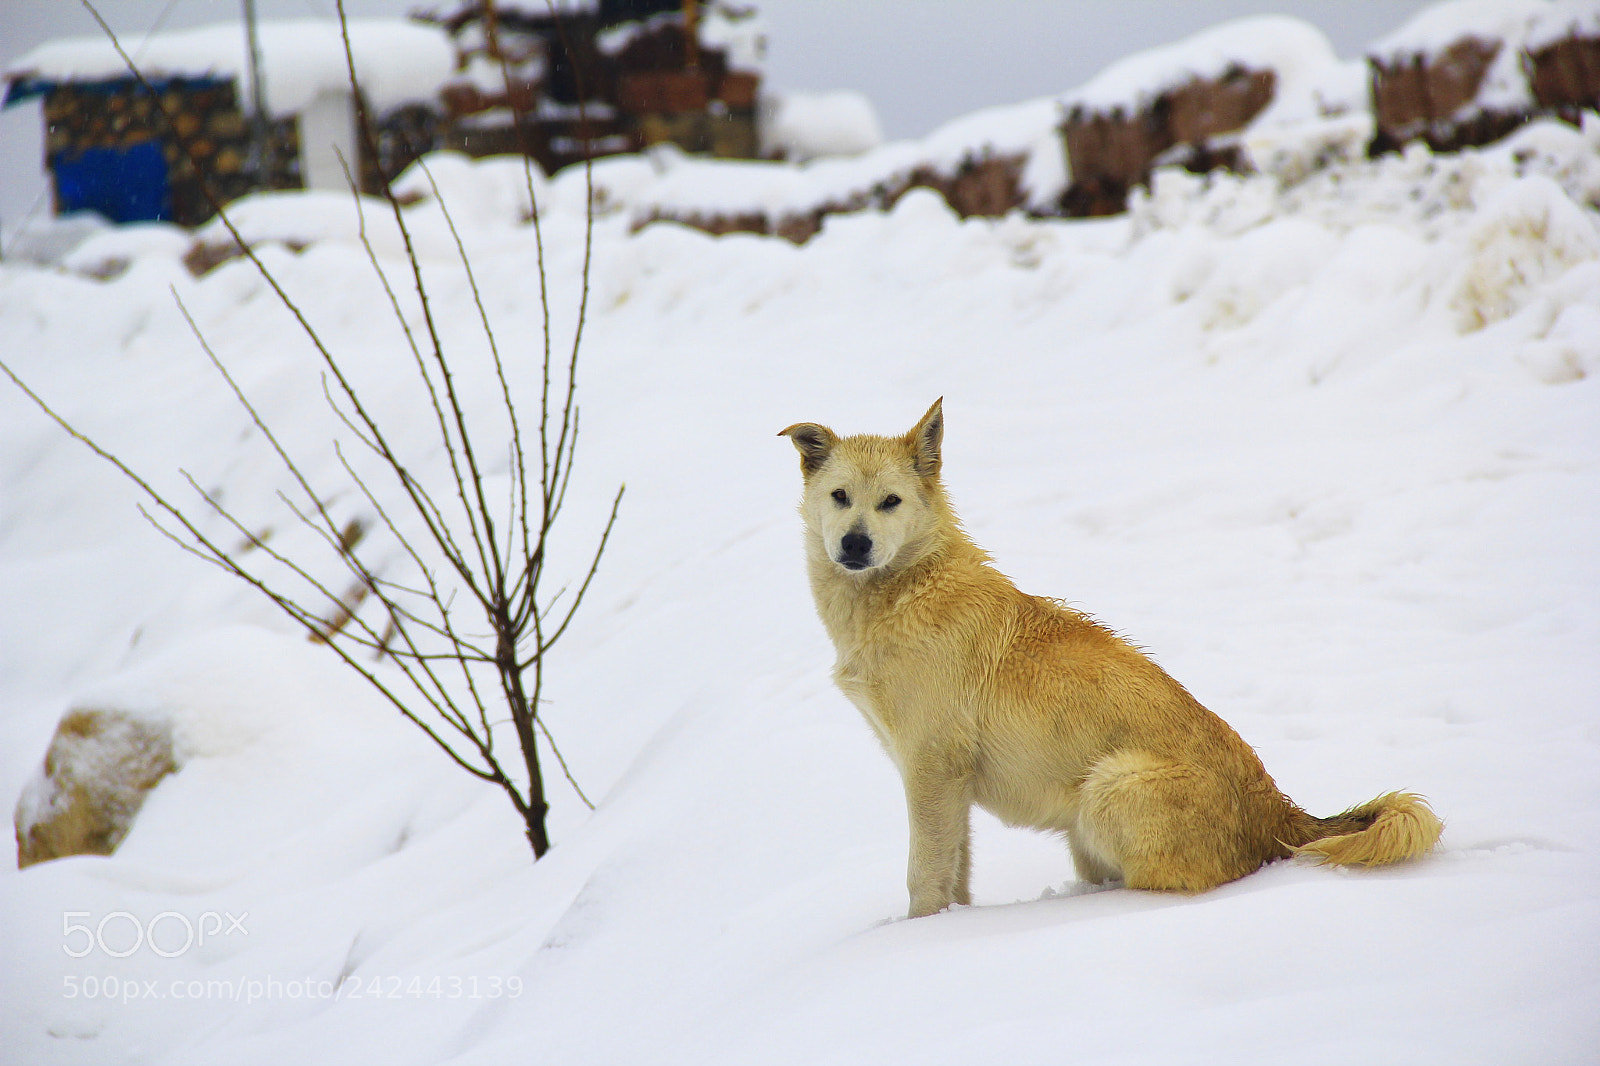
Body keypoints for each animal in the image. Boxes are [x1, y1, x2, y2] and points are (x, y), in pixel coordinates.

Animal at [780, 399, 1442, 918]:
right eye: (840, 497)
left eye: (890, 502)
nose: (855, 544)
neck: (907, 590)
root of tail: (1280, 812)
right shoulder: (949, 784)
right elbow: (954, 878)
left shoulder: (931, 768)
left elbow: (923, 875)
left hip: (1103, 790)